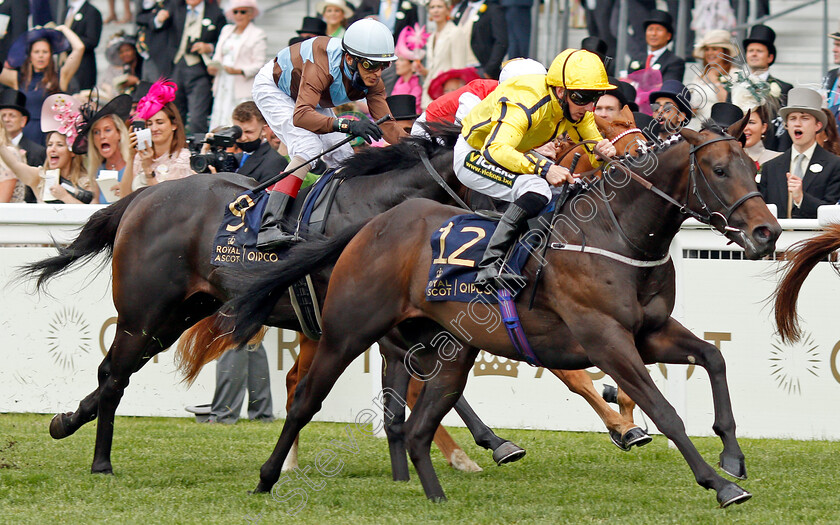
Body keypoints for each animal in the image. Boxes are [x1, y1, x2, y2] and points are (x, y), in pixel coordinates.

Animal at [215, 116, 780, 506]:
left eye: (753, 167)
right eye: (719, 170)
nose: (767, 232)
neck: (614, 235)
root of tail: (368, 226)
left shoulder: (652, 331)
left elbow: (713, 357)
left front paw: (732, 455)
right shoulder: (606, 339)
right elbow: (663, 410)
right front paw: (718, 484)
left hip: (444, 350)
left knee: (417, 425)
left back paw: (439, 494)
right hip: (346, 333)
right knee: (305, 401)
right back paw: (268, 477)